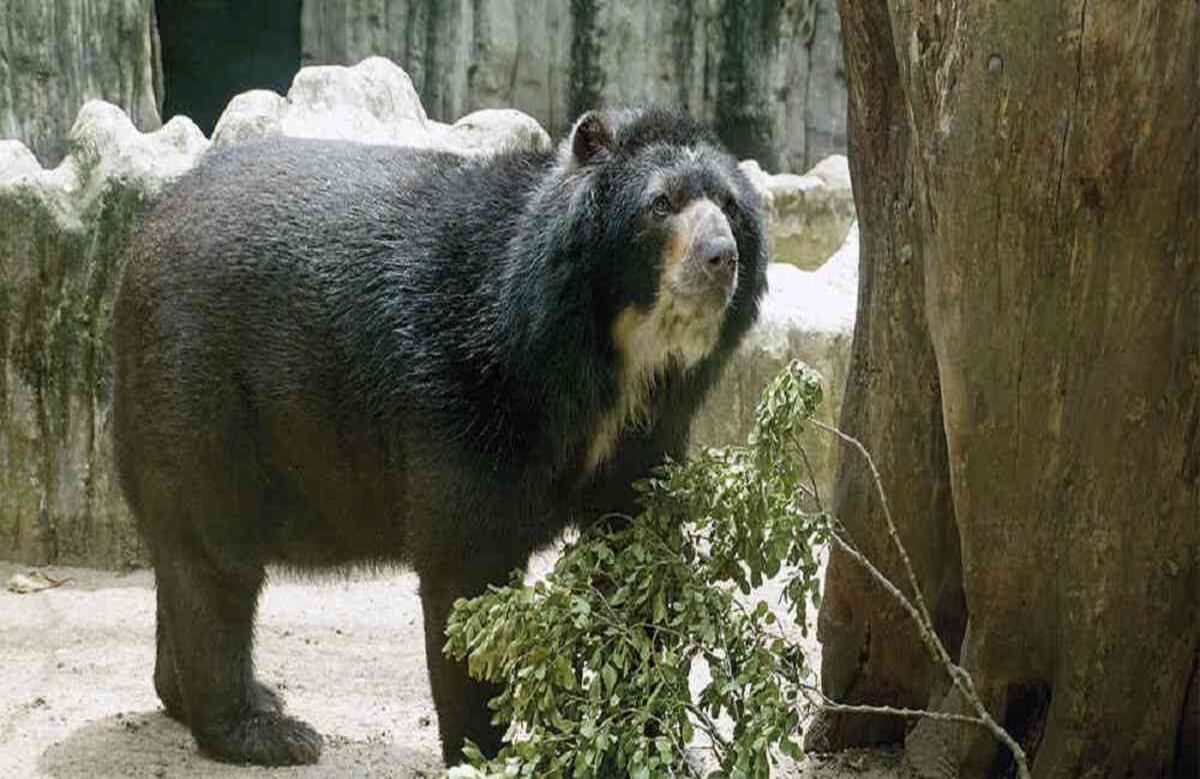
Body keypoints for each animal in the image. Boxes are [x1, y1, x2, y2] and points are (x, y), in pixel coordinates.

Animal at [111, 107, 768, 767]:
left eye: (730, 207)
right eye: (662, 204)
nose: (720, 257)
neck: (607, 360)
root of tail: (141, 238)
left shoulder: (647, 433)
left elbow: (639, 556)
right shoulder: (466, 395)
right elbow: (466, 567)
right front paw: (483, 752)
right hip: (201, 391)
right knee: (215, 558)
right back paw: (265, 729)